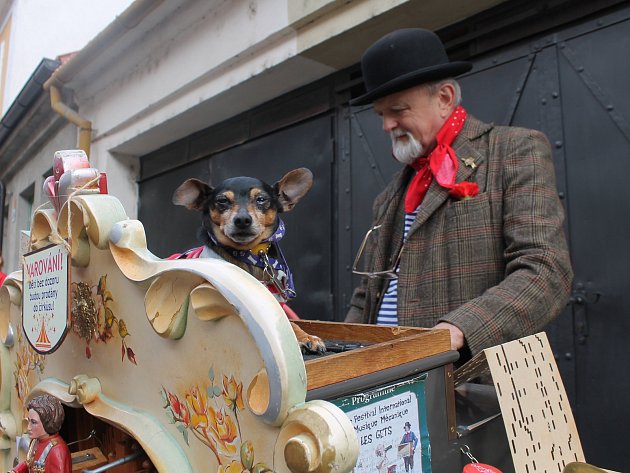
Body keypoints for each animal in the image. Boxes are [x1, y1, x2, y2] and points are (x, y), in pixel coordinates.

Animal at [173, 168, 326, 352]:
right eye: (222, 200)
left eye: (261, 199)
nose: (242, 220)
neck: (250, 254)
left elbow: (291, 324)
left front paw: (306, 337)